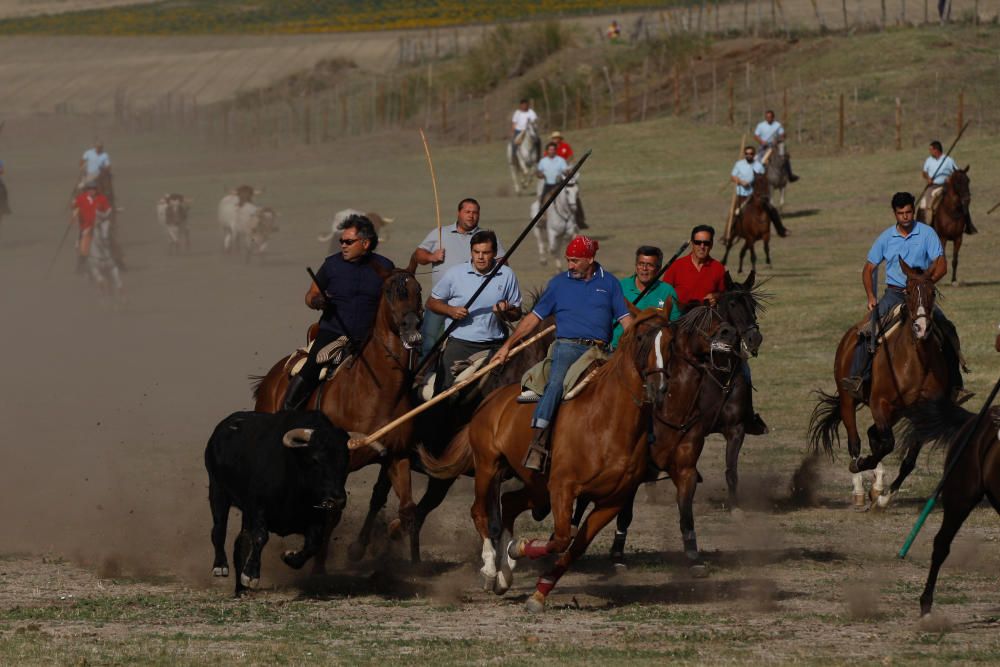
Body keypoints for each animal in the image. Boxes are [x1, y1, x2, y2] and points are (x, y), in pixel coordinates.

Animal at [201, 410, 350, 596]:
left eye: (345, 462)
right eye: (315, 459)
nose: (337, 499)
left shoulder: (316, 516)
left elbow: (314, 543)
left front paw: (290, 557)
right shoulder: (258, 507)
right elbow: (260, 537)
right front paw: (250, 575)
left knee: (241, 542)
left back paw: (240, 589)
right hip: (218, 491)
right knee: (219, 529)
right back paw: (220, 566)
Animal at [252, 270, 424, 568]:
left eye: (418, 290)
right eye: (390, 290)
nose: (412, 326)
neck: (378, 389)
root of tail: (271, 378)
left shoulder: (397, 456)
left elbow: (408, 510)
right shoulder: (338, 464)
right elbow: (331, 512)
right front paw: (308, 563)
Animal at [804, 258, 952, 508]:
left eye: (933, 292)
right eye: (908, 291)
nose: (921, 328)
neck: (915, 363)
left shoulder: (922, 413)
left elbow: (907, 459)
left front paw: (884, 495)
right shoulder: (879, 403)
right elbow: (886, 444)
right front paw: (864, 468)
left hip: (896, 412)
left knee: (873, 434)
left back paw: (876, 485)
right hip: (849, 400)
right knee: (856, 441)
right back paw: (859, 488)